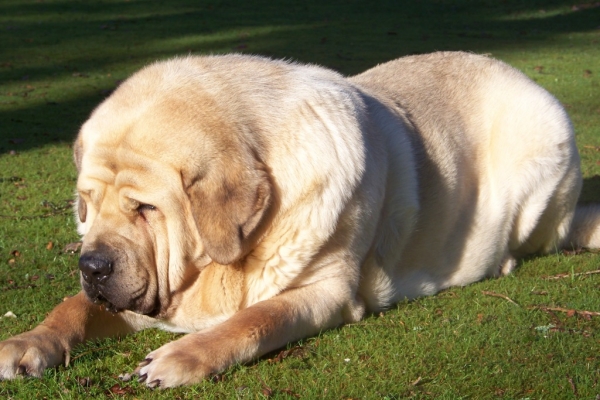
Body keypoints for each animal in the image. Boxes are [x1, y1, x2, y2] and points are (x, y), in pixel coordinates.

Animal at [1, 52, 600, 388]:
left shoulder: (326, 290)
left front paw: (180, 358)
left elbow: (254, 319)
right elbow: (72, 307)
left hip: (537, 163)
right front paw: (27, 344)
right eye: (87, 203)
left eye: (146, 208)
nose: (93, 264)